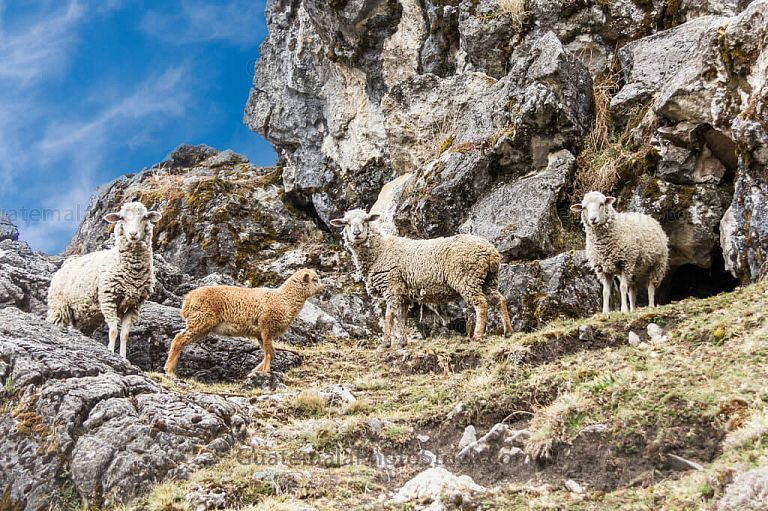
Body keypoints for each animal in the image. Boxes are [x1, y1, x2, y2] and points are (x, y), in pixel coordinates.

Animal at [46, 201, 161, 358]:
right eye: (121, 218)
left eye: (144, 217)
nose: (133, 234)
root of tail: (62, 268)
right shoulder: (109, 299)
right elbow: (113, 331)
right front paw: (111, 352)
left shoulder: (134, 305)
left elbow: (124, 335)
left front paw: (123, 358)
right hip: (59, 307)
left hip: (85, 317)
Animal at [163, 268, 324, 378]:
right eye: (315, 280)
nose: (324, 288)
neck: (285, 299)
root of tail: (189, 298)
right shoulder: (266, 325)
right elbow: (269, 352)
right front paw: (265, 372)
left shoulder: (261, 333)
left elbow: (271, 352)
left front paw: (255, 372)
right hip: (201, 320)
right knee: (178, 339)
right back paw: (170, 371)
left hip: (201, 325)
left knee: (180, 339)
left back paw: (170, 369)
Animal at [330, 209, 513, 347]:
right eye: (346, 223)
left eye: (366, 220)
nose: (356, 233)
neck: (380, 250)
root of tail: (490, 252)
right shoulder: (403, 293)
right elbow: (401, 317)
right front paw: (402, 342)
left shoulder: (391, 286)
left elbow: (389, 315)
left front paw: (386, 343)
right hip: (488, 280)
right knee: (499, 299)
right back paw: (508, 332)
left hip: (467, 278)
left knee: (481, 304)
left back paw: (478, 336)